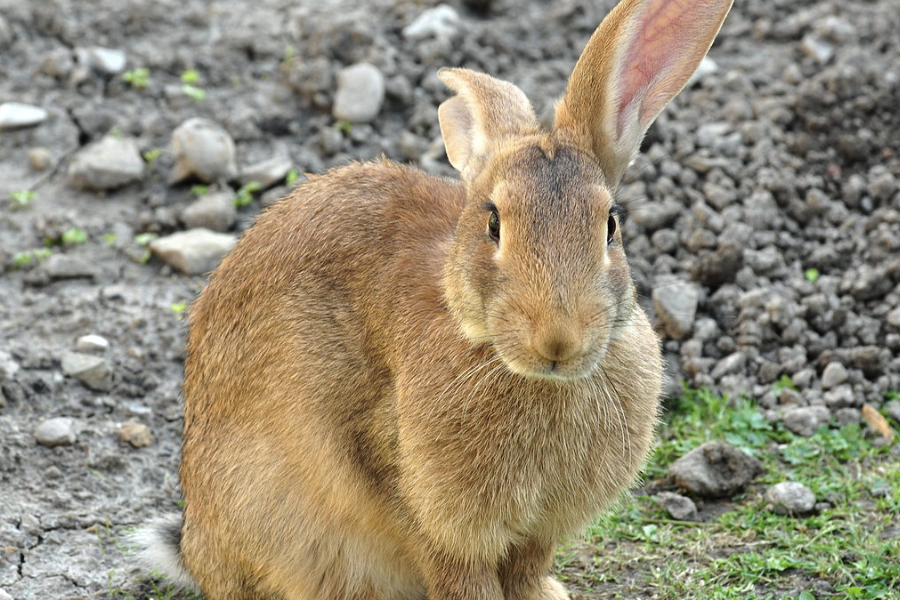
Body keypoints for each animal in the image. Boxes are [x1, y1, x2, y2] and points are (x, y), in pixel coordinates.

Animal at [139, 0, 732, 596]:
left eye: (610, 225)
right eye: (494, 224)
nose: (558, 339)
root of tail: (194, 548)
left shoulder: (538, 533)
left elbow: (527, 568)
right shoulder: (418, 500)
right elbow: (456, 570)